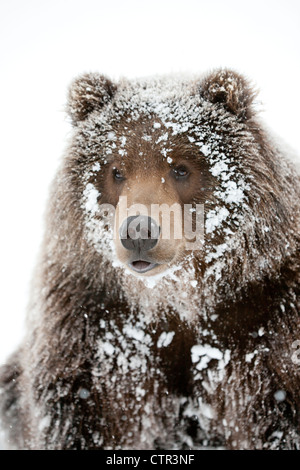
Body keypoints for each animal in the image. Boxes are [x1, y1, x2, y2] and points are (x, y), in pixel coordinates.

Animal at [0, 69, 300, 448]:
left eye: (181, 168)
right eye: (116, 170)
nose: (139, 232)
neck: (175, 297)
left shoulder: (267, 313)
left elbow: (279, 401)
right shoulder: (92, 322)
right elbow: (85, 410)